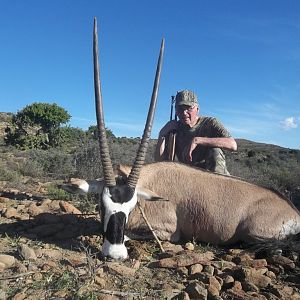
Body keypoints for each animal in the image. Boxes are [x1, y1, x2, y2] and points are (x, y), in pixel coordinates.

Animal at [63, 18, 300, 260]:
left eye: (131, 208)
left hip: (255, 233)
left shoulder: (168, 231)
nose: (115, 254)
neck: (148, 180)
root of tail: (293, 210)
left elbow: (131, 234)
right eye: (102, 206)